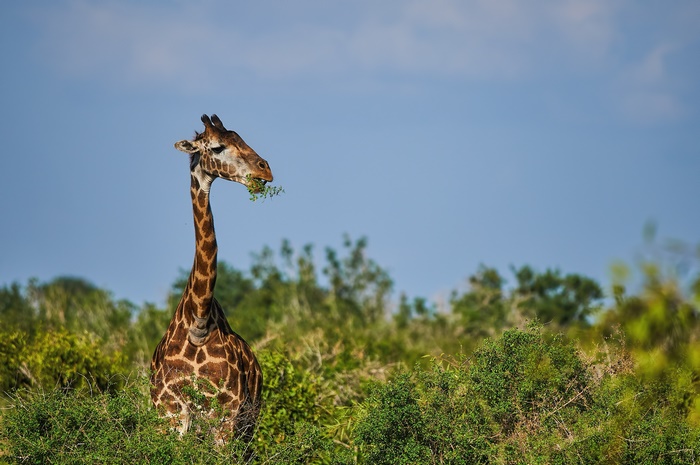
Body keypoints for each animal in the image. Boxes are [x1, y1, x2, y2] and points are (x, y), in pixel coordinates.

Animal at [150, 114, 271, 443]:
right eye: (217, 147)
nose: (265, 169)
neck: (199, 322)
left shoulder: (226, 415)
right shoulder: (169, 412)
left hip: (249, 423)